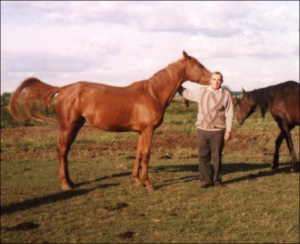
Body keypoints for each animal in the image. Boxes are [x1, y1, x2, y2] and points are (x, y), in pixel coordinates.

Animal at [8, 51, 211, 191]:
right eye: (199, 65)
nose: (214, 77)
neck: (152, 94)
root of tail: (62, 88)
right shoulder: (148, 130)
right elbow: (146, 155)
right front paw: (148, 183)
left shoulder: (141, 132)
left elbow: (138, 154)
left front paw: (137, 180)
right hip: (68, 126)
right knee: (62, 150)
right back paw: (65, 183)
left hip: (76, 126)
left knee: (65, 152)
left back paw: (71, 182)